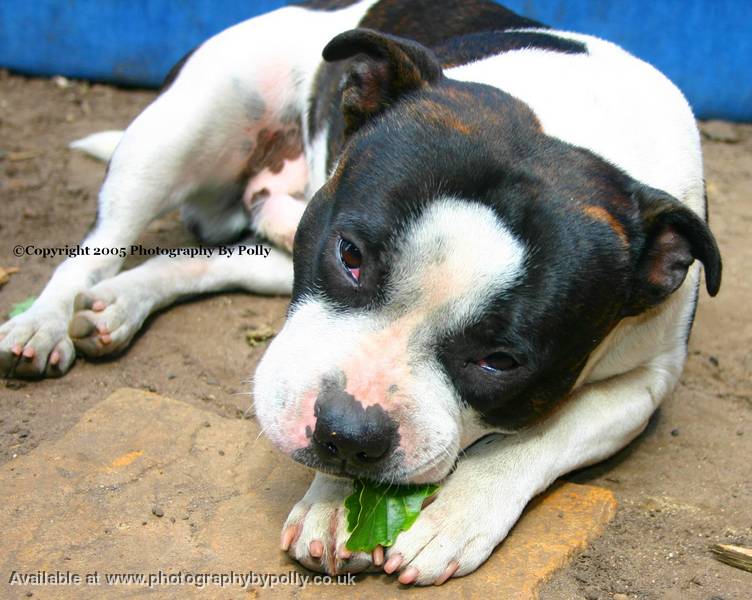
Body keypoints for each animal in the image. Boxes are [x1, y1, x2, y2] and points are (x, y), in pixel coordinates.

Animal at [0, 0, 724, 584]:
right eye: (350, 256)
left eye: (501, 362)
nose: (348, 435)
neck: (579, 118)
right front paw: (330, 503)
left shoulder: (647, 382)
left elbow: (540, 436)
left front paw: (453, 513)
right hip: (178, 134)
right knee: (96, 246)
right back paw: (43, 322)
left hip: (279, 236)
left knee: (214, 257)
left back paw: (119, 303)